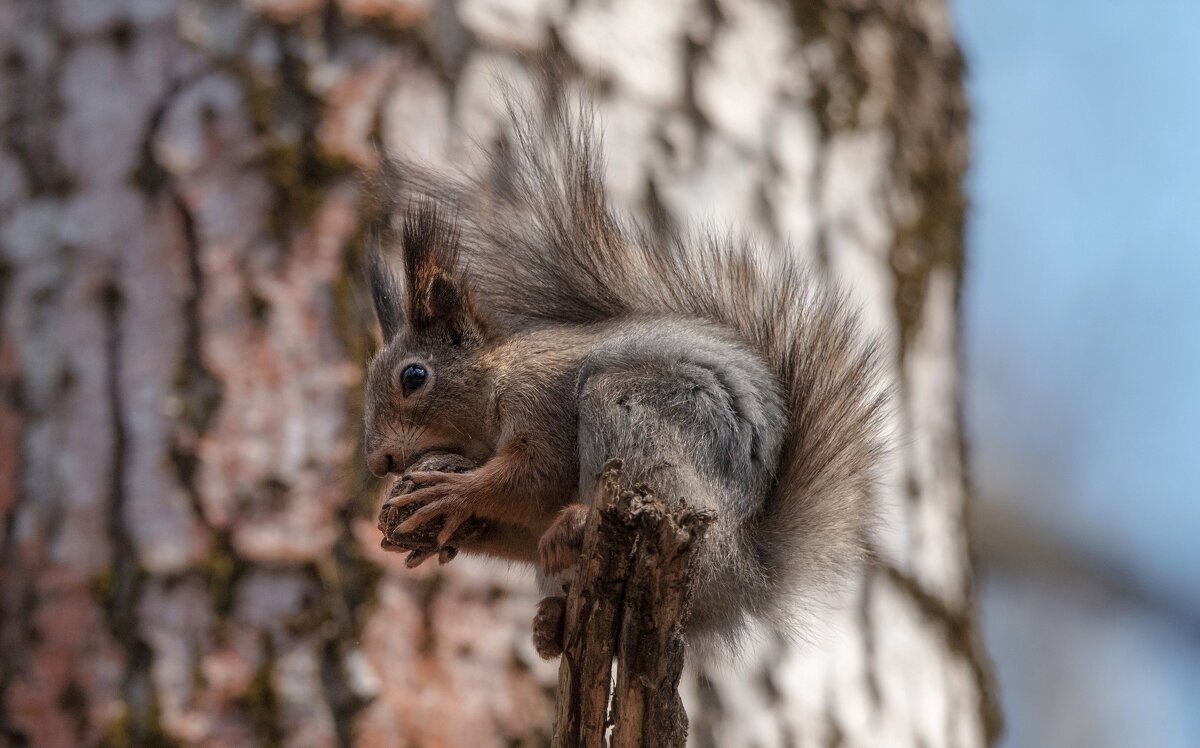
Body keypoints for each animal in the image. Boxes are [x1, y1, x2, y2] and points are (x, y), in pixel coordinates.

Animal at [360, 96, 888, 657]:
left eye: (414, 376)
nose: (378, 462)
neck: (493, 385)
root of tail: (742, 576)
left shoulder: (540, 399)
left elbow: (536, 473)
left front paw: (453, 495)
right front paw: (445, 531)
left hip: (634, 420)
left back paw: (576, 525)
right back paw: (550, 623)